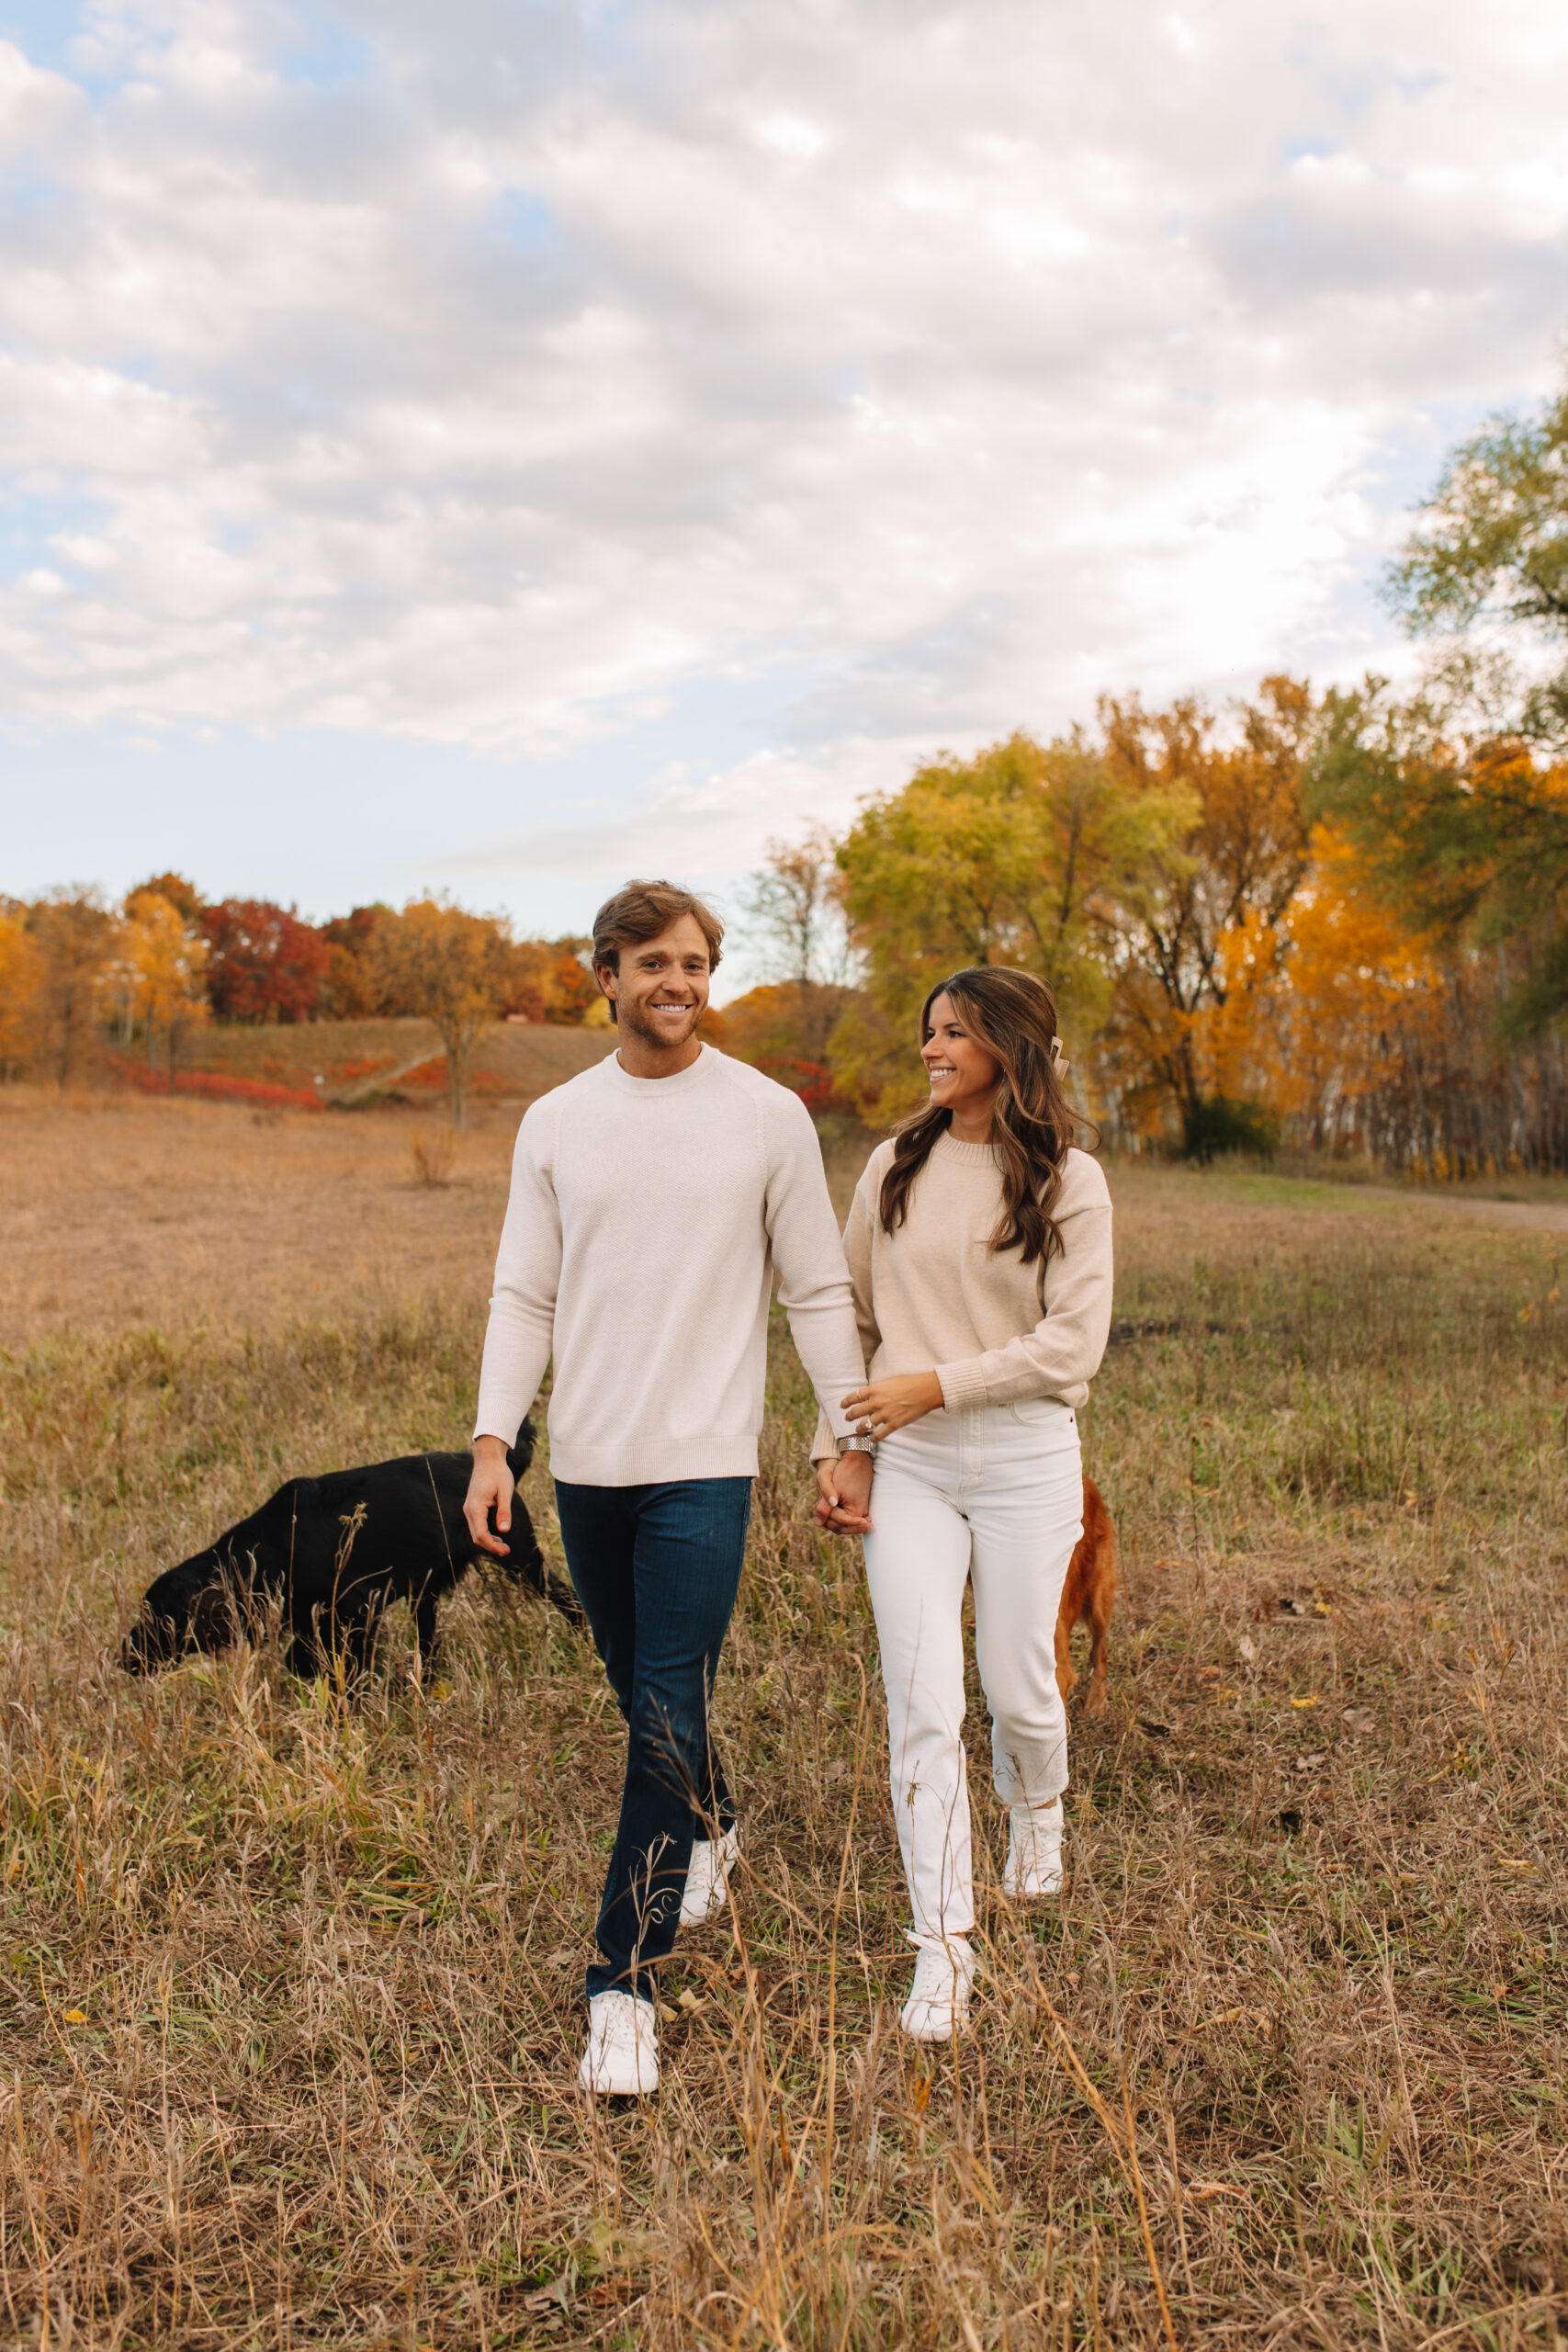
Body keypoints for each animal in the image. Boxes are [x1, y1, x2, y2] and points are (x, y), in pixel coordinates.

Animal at [116, 1411, 582, 1693]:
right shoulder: (311, 1618)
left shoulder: (358, 1608)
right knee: (427, 1644)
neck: (273, 1549)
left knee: (571, 1600)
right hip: (426, 1594)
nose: (121, 1658)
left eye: (154, 1617)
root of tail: (504, 1464)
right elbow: (301, 1658)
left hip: (522, 1560)